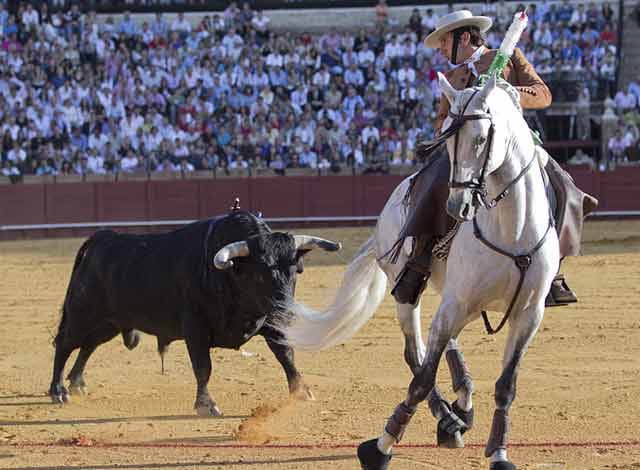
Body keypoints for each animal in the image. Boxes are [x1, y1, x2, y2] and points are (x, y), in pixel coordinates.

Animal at [48, 210, 340, 414]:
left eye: (295, 271)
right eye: (260, 275)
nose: (288, 313)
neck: (229, 275)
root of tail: (100, 239)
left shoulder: (270, 322)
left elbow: (285, 355)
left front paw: (301, 390)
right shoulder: (195, 328)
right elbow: (203, 367)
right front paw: (206, 404)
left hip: (109, 322)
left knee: (88, 345)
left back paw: (77, 382)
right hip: (82, 313)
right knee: (65, 344)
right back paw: (58, 390)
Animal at [278, 73, 556, 470]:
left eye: (481, 138)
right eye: (447, 144)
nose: (458, 206)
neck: (512, 230)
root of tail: (381, 222)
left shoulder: (529, 313)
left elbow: (506, 385)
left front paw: (499, 453)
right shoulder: (456, 301)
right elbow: (422, 377)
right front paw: (380, 447)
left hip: (460, 302)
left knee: (443, 344)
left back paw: (460, 407)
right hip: (412, 290)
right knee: (417, 353)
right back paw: (450, 419)